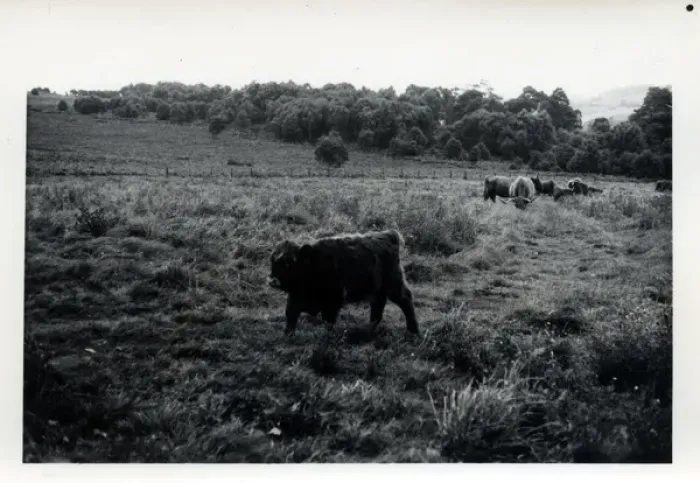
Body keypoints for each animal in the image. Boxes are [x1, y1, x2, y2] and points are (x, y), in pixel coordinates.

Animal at [268, 229, 419, 337]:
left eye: (289, 262)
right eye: (272, 260)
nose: (272, 280)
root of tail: (388, 235)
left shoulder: (332, 302)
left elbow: (328, 322)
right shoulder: (295, 298)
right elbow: (290, 316)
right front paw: (288, 335)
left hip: (394, 284)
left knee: (405, 301)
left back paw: (413, 331)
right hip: (377, 289)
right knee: (378, 306)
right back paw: (368, 330)